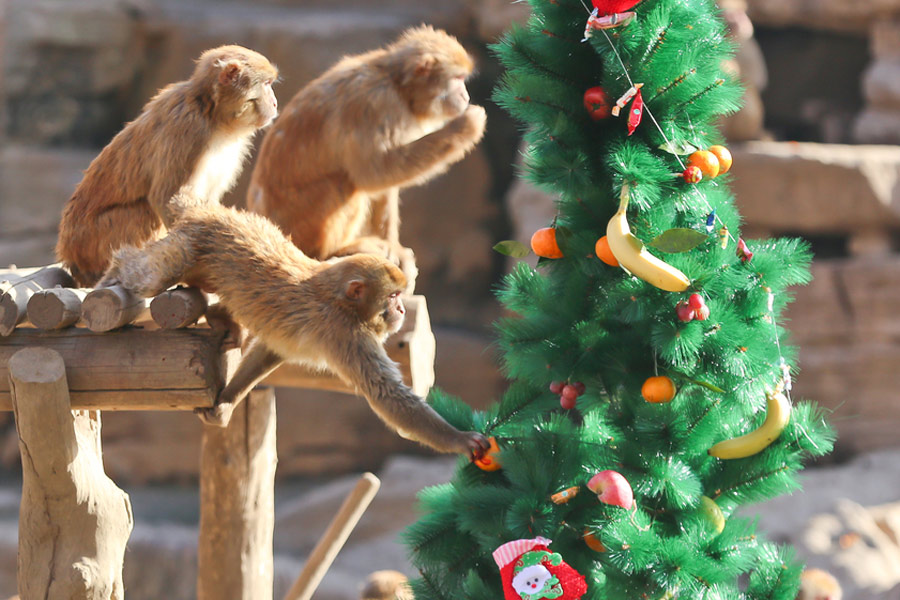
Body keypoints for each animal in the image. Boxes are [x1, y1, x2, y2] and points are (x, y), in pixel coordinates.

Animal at [55, 43, 278, 288]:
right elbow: (167, 198)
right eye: (266, 84)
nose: (275, 103)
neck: (211, 113)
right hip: (92, 242)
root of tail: (69, 255)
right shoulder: (188, 129)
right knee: (144, 212)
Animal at [99, 198, 492, 460]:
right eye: (393, 296)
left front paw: (226, 401)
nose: (398, 309)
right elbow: (386, 394)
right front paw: (459, 439)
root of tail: (210, 212)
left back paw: (222, 318)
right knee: (149, 274)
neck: (338, 301)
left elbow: (270, 350)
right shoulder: (346, 334)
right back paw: (110, 278)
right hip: (189, 244)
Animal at [244, 25, 486, 290]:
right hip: (299, 225)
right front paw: (466, 126)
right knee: (344, 183)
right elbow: (374, 174)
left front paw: (395, 250)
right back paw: (333, 252)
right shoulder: (374, 103)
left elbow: (384, 184)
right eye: (457, 79)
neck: (396, 84)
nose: (465, 96)